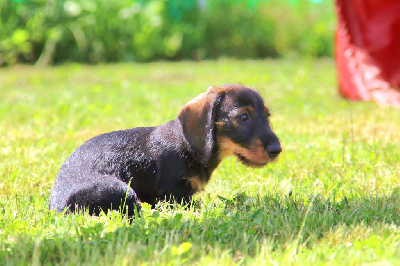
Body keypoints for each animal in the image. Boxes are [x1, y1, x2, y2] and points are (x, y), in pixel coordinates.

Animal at [49, 84, 282, 215]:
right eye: (243, 117)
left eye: (267, 116)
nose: (277, 150)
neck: (188, 146)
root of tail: (58, 207)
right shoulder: (173, 194)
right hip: (122, 190)